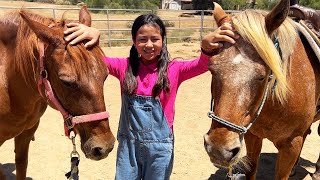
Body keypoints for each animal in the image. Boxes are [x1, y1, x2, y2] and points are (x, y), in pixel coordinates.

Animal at [204, 0, 320, 179]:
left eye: (262, 76)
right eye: (211, 69)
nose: (219, 150)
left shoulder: (291, 144)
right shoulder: (252, 135)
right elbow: (251, 170)